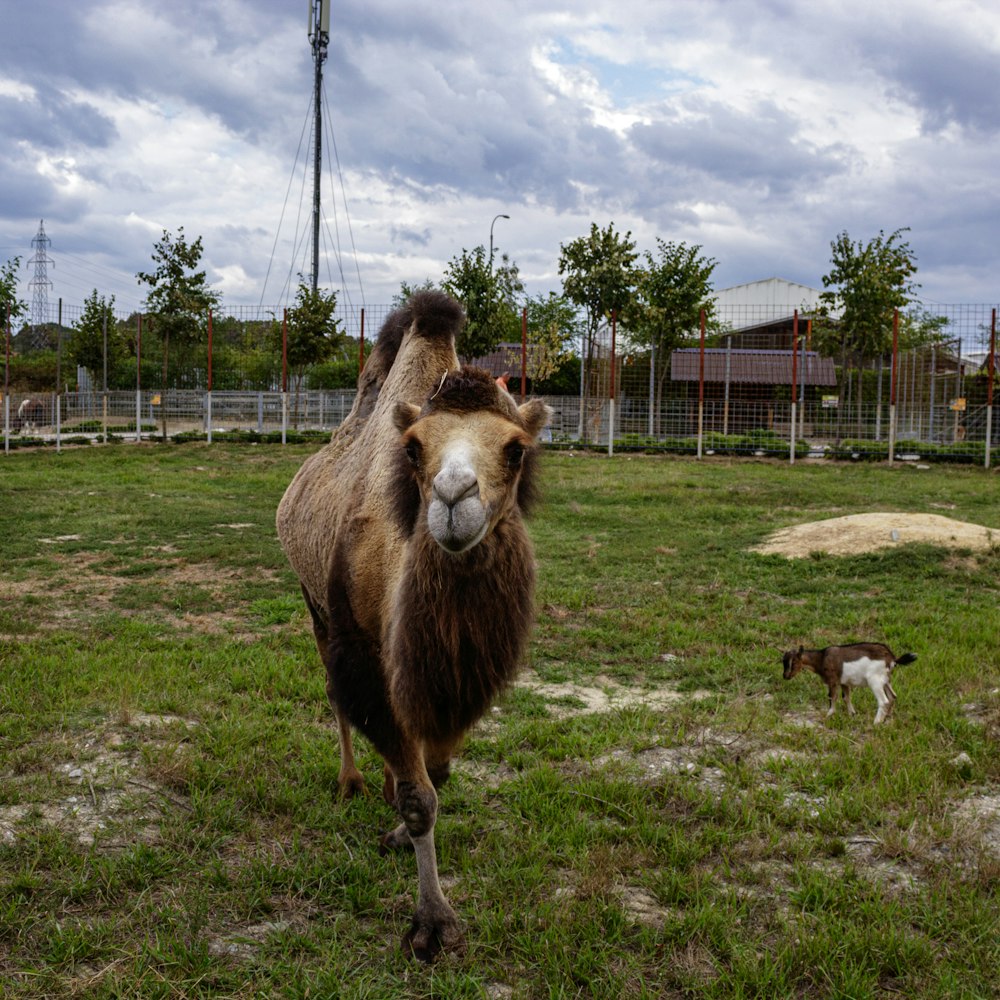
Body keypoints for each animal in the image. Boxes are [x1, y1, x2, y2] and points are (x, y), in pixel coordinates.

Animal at [784, 644, 916, 724]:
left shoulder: (833, 680)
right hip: (886, 680)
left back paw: (876, 722)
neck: (821, 659)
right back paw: (886, 719)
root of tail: (892, 658)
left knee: (884, 701)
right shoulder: (844, 682)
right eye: (783, 662)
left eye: (794, 662)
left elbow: (832, 697)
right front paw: (852, 714)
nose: (785, 676)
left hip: (875, 681)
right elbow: (846, 697)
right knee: (893, 696)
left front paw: (828, 715)